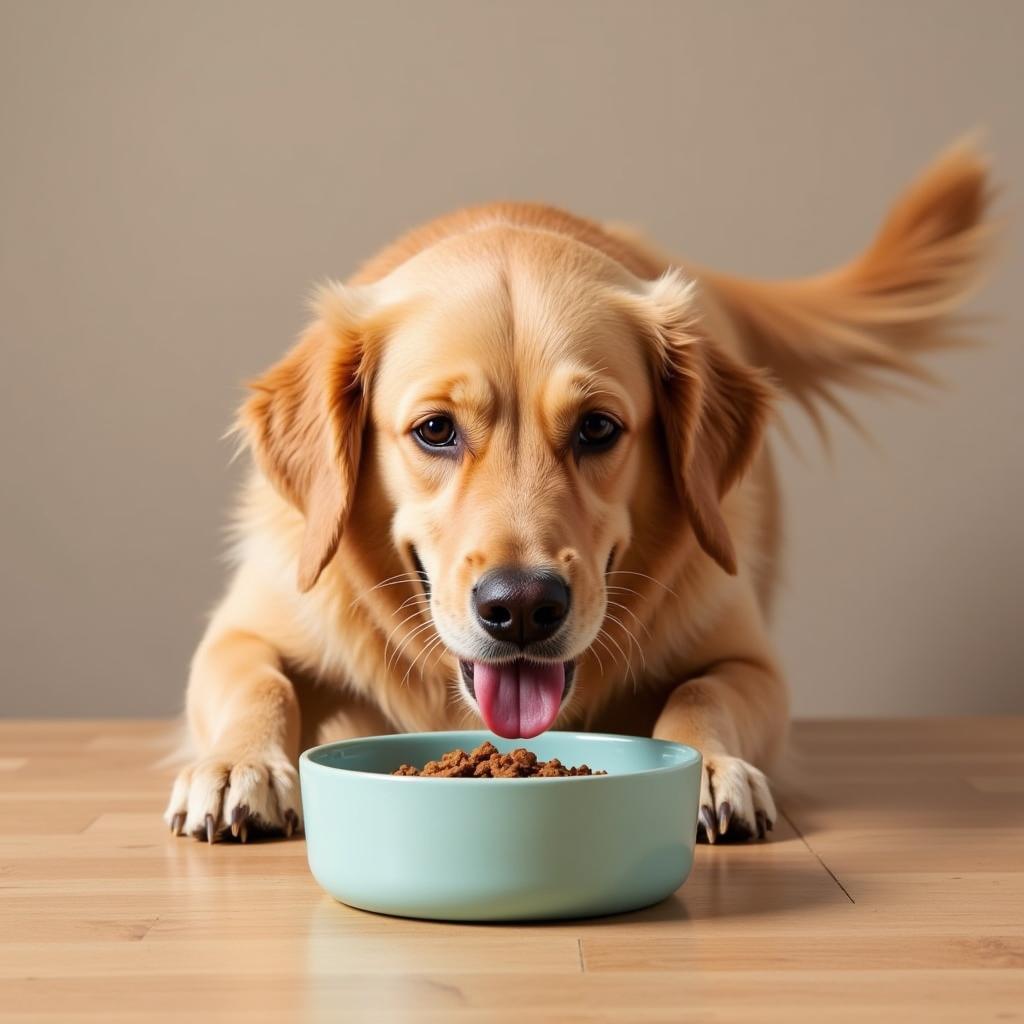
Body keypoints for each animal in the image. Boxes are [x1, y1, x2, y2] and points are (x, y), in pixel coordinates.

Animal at [165, 144, 991, 847]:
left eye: (597, 427)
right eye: (435, 429)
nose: (523, 608)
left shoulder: (750, 659)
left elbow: (704, 694)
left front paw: (709, 770)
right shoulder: (244, 627)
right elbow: (258, 681)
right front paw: (238, 765)